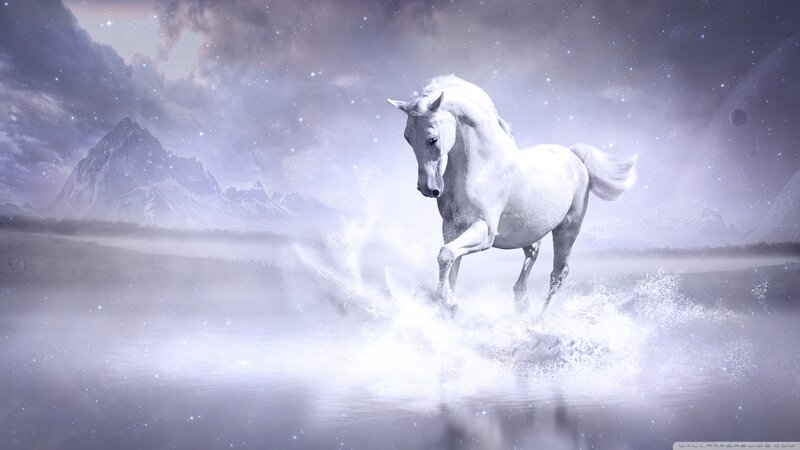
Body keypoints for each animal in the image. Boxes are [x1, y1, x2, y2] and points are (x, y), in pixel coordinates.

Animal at [387, 75, 637, 316]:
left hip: (567, 229)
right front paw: (446, 305)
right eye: (407, 138)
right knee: (533, 252)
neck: (482, 166)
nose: (427, 188)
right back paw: (521, 301)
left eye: (433, 139)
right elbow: (452, 264)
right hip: (527, 229)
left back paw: (540, 320)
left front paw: (448, 302)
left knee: (558, 274)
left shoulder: (484, 230)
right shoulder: (451, 227)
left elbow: (446, 255)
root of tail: (574, 156)